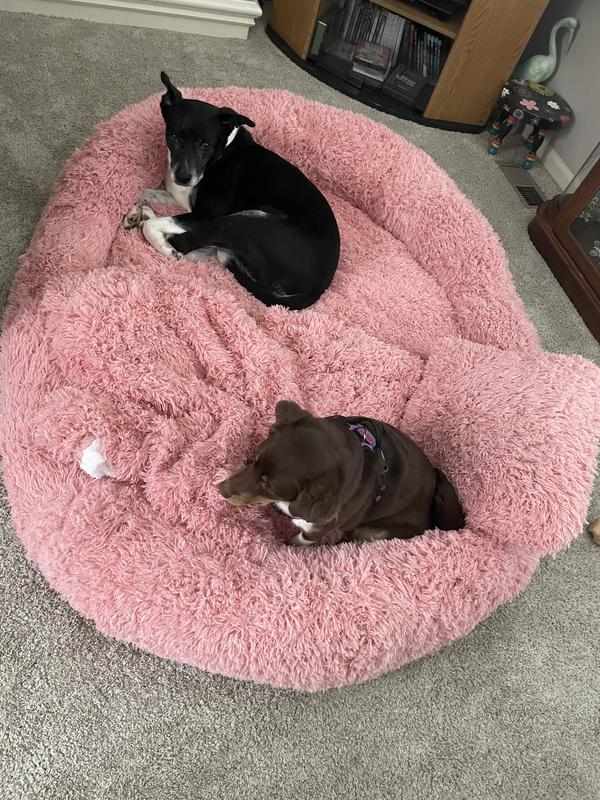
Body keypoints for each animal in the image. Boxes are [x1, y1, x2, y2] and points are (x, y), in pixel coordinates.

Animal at [123, 73, 340, 310]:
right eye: (173, 137)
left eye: (205, 145)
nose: (183, 177)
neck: (222, 151)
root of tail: (317, 289)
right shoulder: (184, 200)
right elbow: (146, 192)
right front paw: (139, 208)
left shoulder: (206, 215)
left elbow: (159, 226)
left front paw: (159, 241)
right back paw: (140, 215)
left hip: (241, 222)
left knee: (188, 244)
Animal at [218, 401, 465, 545]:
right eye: (254, 459)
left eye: (269, 485)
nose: (221, 490)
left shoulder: (314, 529)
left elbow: (300, 539)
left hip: (376, 531)